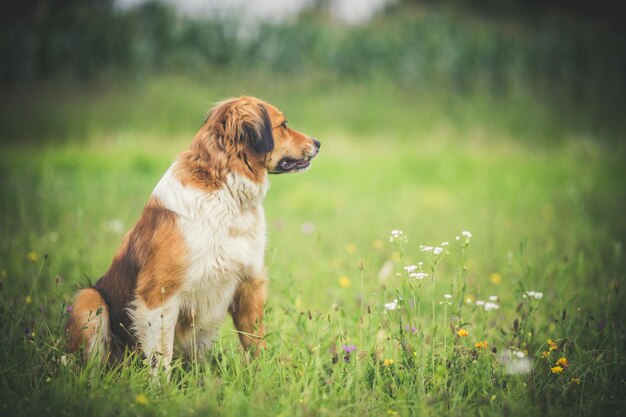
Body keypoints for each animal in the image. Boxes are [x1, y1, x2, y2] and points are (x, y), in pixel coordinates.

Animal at [66, 96, 320, 368]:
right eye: (283, 125)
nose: (317, 143)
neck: (227, 194)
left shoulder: (249, 284)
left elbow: (255, 342)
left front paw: (261, 373)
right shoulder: (157, 295)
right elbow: (161, 357)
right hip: (88, 300)